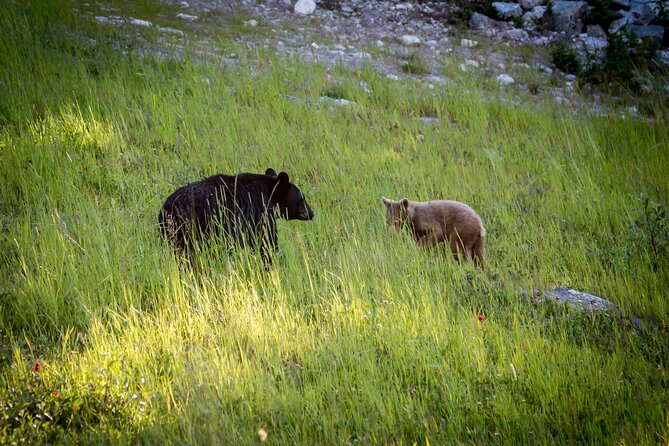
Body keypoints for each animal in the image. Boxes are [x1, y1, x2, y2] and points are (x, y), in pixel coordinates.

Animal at [159, 170, 314, 262]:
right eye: (302, 198)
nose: (312, 213)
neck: (268, 195)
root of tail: (167, 208)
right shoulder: (259, 214)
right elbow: (265, 241)